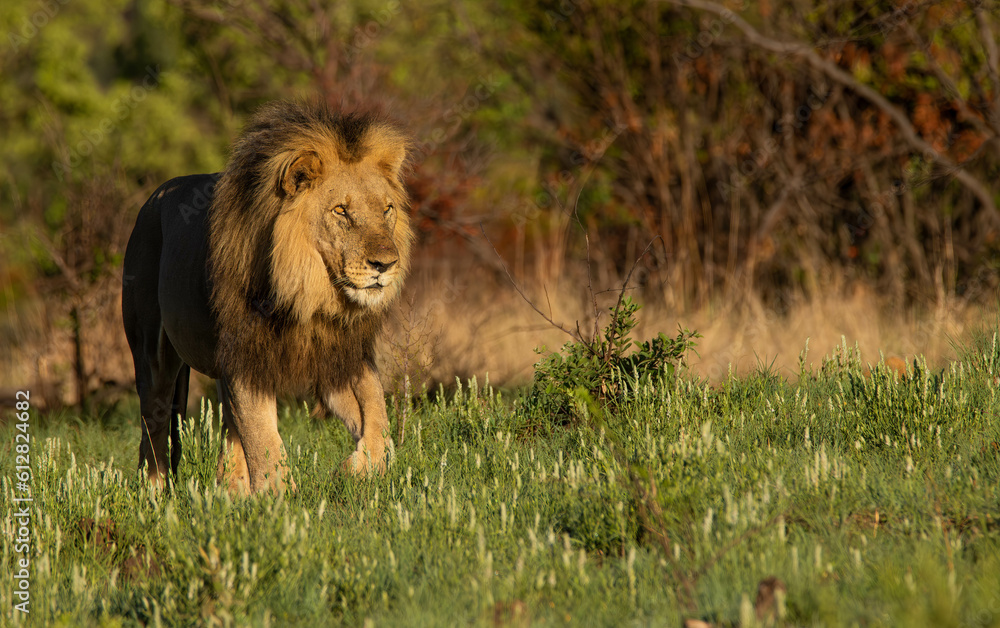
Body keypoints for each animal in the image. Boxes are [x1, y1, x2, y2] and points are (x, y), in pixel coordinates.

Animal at [122, 100, 412, 494]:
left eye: (386, 209)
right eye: (341, 210)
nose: (386, 264)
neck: (310, 295)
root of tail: (150, 200)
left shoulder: (340, 356)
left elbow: (378, 416)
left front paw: (356, 471)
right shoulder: (247, 355)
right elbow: (264, 439)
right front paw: (280, 502)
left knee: (228, 424)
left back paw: (230, 491)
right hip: (152, 350)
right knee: (154, 423)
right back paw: (154, 493)